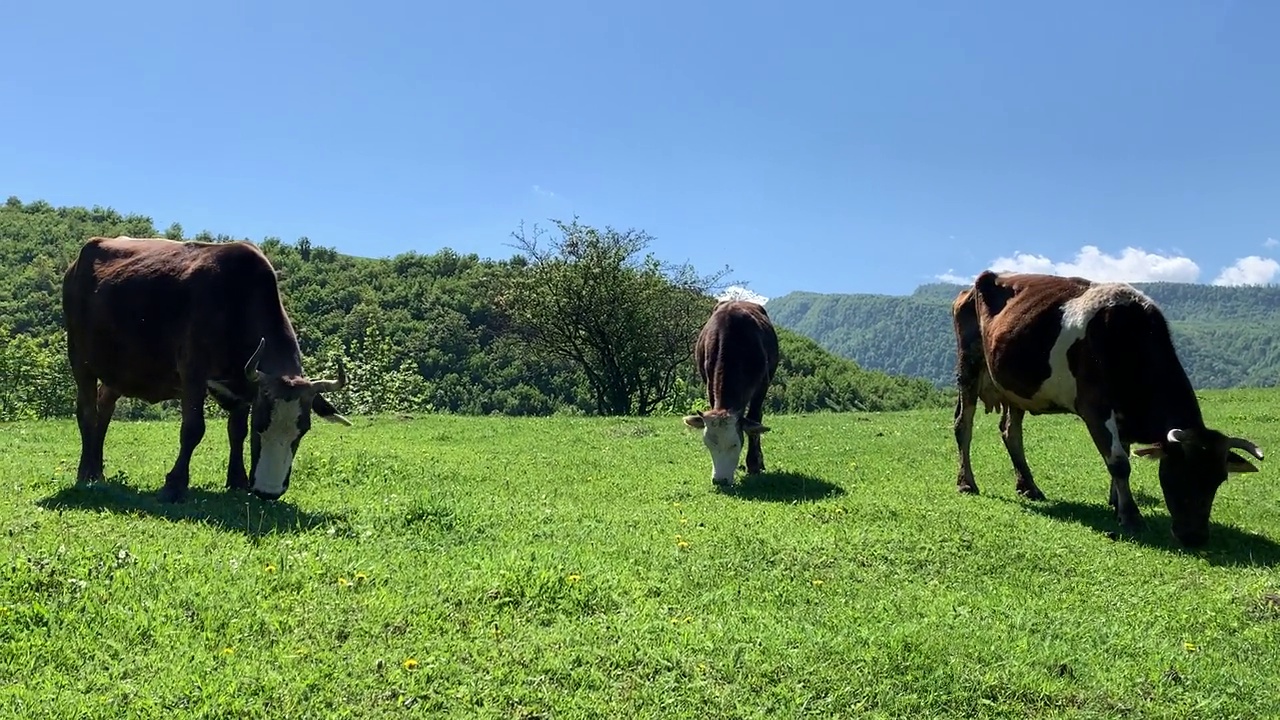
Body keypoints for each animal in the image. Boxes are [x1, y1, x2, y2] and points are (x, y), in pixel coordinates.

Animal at [58, 235, 350, 499]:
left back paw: (97, 471)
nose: (269, 492)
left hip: (119, 372)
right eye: (260, 425)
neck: (236, 300)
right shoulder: (193, 375)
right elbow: (193, 429)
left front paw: (237, 480)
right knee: (88, 412)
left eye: (303, 430)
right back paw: (86, 473)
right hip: (80, 360)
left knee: (104, 410)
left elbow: (236, 431)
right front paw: (175, 485)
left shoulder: (245, 387)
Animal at [680, 299, 778, 484]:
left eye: (735, 444)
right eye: (708, 444)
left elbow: (754, 420)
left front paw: (754, 463)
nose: (720, 480)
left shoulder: (762, 384)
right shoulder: (709, 383)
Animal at [952, 269, 1259, 543]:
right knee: (963, 425)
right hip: (968, 365)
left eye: (1218, 480)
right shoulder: (1095, 407)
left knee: (1010, 431)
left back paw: (1028, 486)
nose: (1195, 537)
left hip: (1016, 385)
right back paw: (967, 482)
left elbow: (1122, 450)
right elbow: (1119, 462)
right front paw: (1131, 516)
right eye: (1180, 472)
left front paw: (1116, 502)